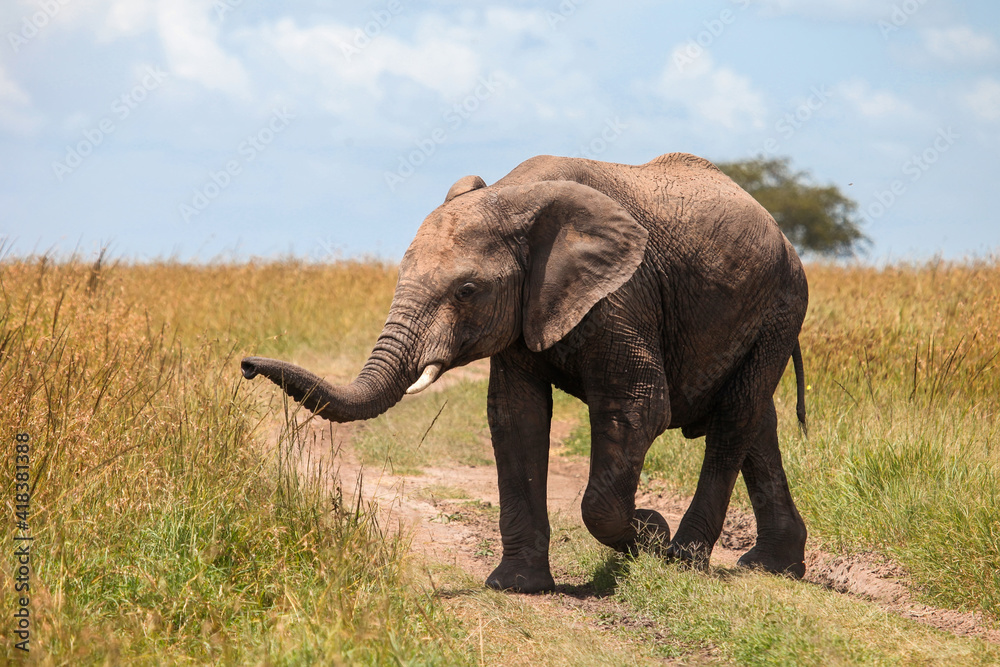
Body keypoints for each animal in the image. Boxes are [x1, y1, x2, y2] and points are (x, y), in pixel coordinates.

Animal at [241, 152, 809, 593]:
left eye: (467, 291)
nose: (245, 365)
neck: (512, 196)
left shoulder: (620, 296)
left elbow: (639, 406)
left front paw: (649, 533)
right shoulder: (524, 311)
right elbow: (516, 418)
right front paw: (516, 586)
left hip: (781, 306)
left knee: (734, 419)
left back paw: (684, 558)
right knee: (756, 421)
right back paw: (772, 567)